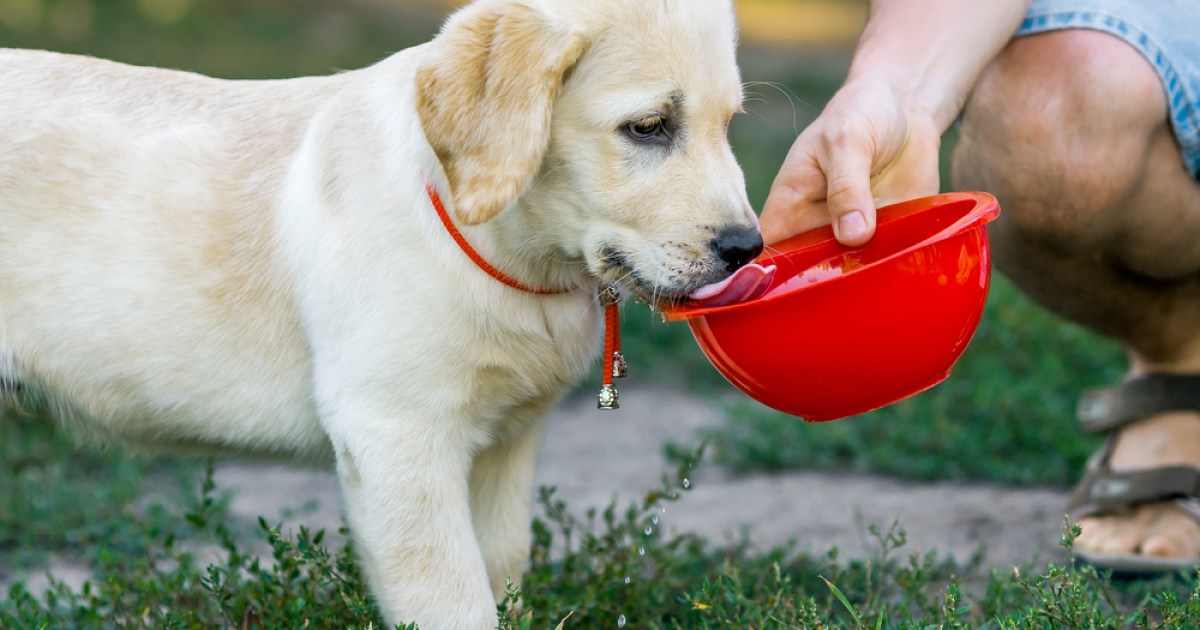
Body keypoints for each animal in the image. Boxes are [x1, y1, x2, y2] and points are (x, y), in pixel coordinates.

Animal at [0, 0, 758, 624]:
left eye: (728, 125)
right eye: (649, 127)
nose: (746, 248)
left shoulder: (508, 443)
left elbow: (501, 569)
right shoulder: (397, 438)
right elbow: (454, 601)